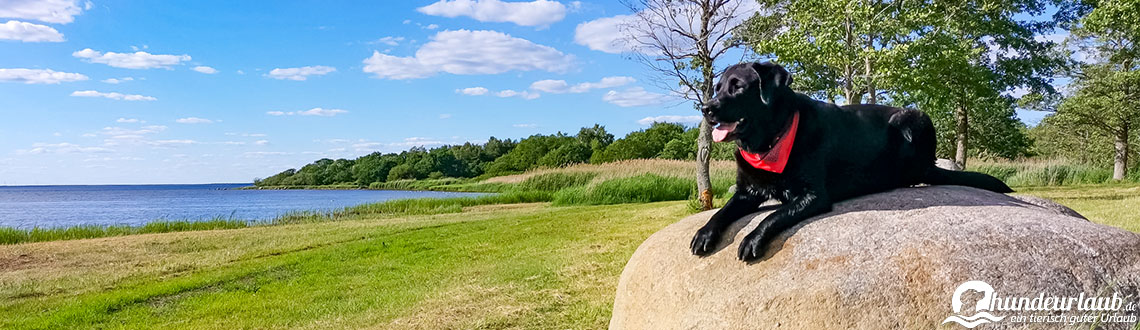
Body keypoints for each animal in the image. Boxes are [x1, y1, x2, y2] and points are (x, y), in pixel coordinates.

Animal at [688, 61, 1012, 260]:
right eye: (718, 88)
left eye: (738, 86)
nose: (706, 109)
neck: (772, 139)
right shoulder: (746, 191)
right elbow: (721, 212)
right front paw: (704, 233)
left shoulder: (814, 195)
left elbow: (773, 215)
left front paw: (753, 238)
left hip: (914, 119)